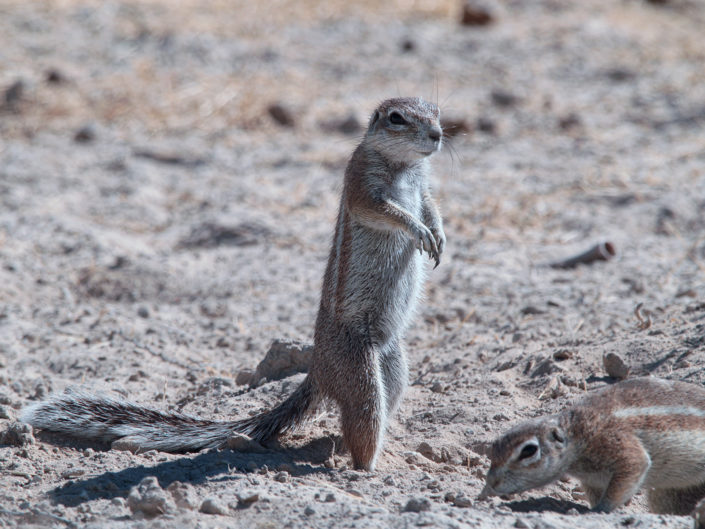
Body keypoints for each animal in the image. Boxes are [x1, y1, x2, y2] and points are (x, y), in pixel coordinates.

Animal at [20, 97, 446, 472]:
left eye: (436, 110)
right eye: (396, 118)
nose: (438, 135)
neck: (403, 166)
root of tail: (318, 371)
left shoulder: (423, 188)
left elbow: (429, 205)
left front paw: (438, 234)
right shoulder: (361, 181)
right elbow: (383, 210)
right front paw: (416, 229)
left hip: (393, 363)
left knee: (381, 403)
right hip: (359, 370)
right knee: (363, 419)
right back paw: (368, 470)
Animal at [480, 377, 705, 514]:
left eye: (528, 451)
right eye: (493, 447)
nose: (491, 483)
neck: (578, 434)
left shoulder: (617, 443)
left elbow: (634, 465)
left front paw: (599, 511)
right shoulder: (593, 481)